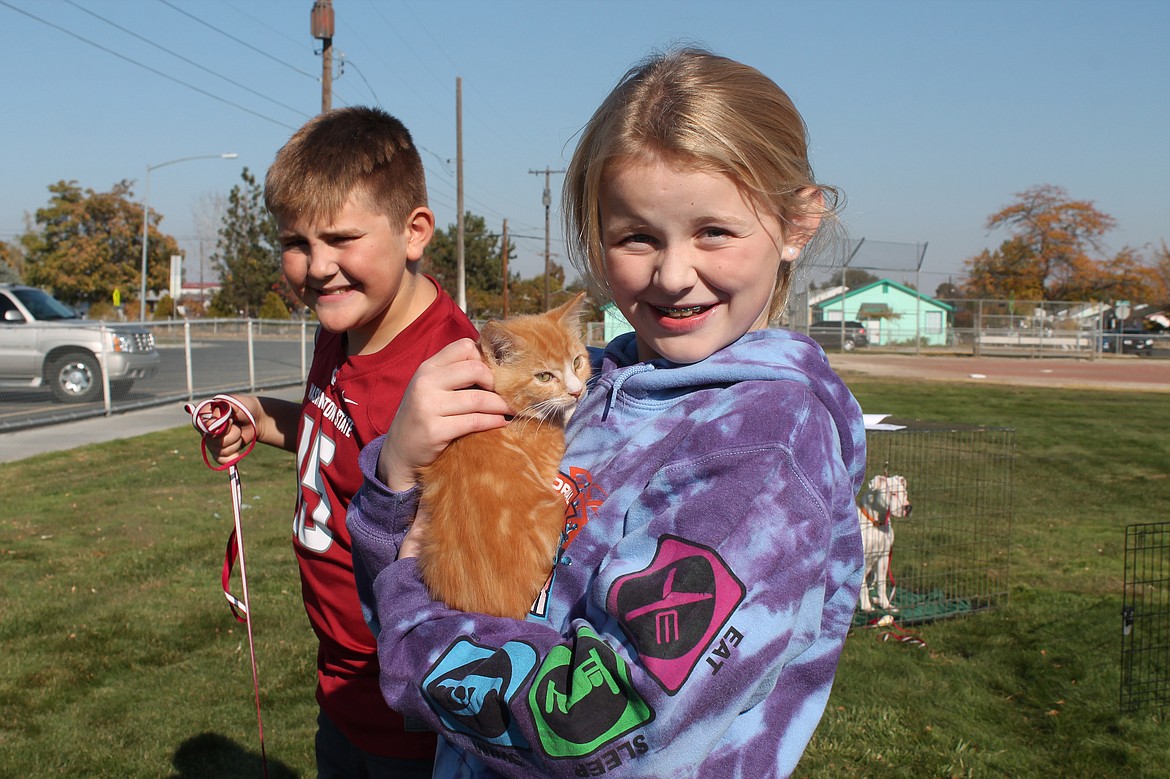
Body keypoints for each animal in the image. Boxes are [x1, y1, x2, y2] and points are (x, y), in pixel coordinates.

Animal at [861, 470, 912, 608]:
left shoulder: (883, 557)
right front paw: (866, 606)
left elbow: (882, 584)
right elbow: (862, 586)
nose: (908, 508)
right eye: (893, 493)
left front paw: (885, 604)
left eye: (905, 494)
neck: (877, 524)